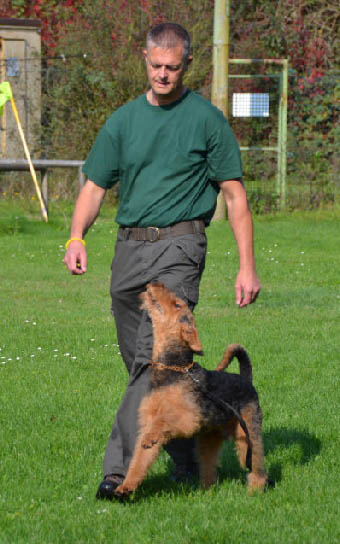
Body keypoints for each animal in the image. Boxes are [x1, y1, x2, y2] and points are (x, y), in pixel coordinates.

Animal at [114, 282, 268, 500]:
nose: (155, 283)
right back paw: (205, 490)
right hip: (209, 438)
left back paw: (254, 491)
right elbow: (140, 458)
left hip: (248, 433)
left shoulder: (189, 418)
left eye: (177, 304)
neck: (173, 368)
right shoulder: (147, 421)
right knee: (209, 466)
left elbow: (163, 420)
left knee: (257, 466)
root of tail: (245, 379)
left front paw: (151, 438)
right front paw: (126, 486)